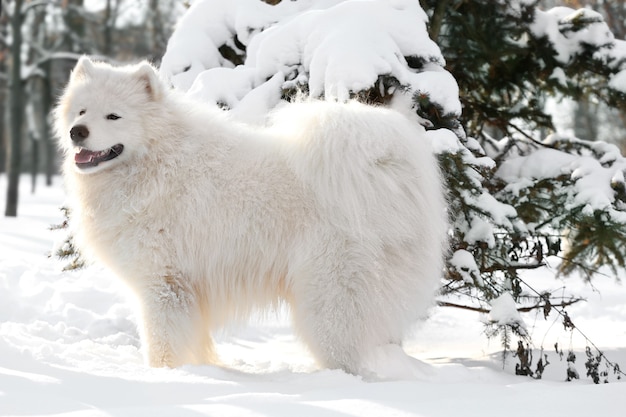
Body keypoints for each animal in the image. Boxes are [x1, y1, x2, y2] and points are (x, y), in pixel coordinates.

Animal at [52, 57, 444, 376]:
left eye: (113, 116)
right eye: (82, 112)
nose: (77, 132)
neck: (157, 161)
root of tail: (388, 167)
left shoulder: (162, 285)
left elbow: (162, 346)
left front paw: (165, 377)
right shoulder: (187, 293)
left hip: (330, 300)